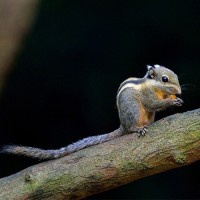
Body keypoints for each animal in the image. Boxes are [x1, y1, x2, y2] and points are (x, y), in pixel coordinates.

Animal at [0, 65, 184, 160]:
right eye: (165, 79)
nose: (180, 91)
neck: (152, 86)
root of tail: (122, 125)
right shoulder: (148, 96)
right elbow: (153, 104)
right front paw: (171, 101)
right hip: (134, 110)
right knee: (132, 128)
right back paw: (137, 129)